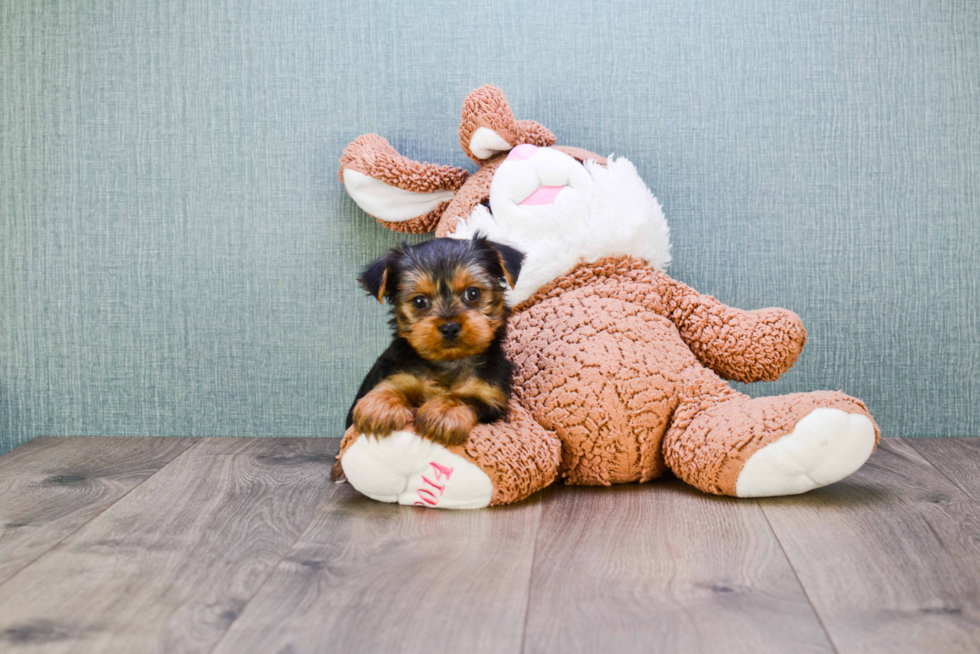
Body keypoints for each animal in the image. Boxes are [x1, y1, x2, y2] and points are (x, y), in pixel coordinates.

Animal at [348, 236, 524, 452]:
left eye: (473, 293)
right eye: (419, 301)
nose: (450, 327)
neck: (449, 362)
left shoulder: (491, 397)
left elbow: (465, 398)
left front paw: (444, 412)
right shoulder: (402, 374)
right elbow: (392, 385)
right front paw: (379, 405)